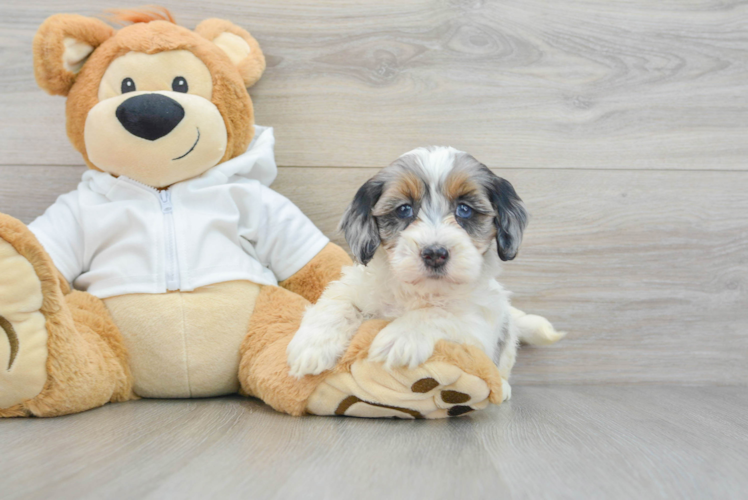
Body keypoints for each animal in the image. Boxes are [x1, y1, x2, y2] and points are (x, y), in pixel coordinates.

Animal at [286, 146, 560, 400]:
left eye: (465, 209)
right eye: (404, 209)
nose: (435, 253)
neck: (420, 289)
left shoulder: (478, 328)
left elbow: (440, 313)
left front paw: (400, 337)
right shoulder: (356, 286)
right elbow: (337, 302)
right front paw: (311, 346)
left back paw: (502, 387)